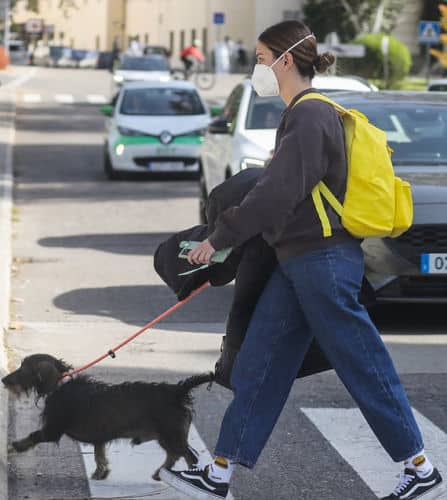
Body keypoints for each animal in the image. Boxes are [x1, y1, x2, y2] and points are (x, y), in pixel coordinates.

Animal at [2, 354, 214, 482]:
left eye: (23, 368)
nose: (3, 380)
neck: (60, 385)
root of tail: (177, 391)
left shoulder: (51, 431)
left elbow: (31, 437)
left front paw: (13, 446)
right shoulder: (99, 438)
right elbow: (99, 455)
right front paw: (100, 473)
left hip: (171, 434)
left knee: (189, 457)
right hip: (168, 436)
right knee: (174, 455)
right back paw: (158, 474)